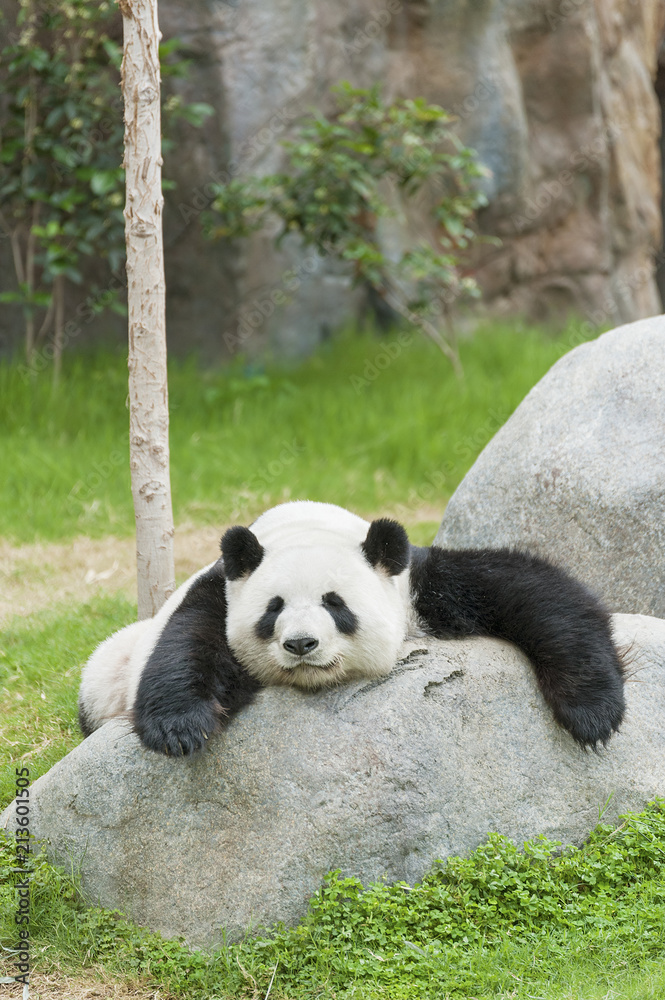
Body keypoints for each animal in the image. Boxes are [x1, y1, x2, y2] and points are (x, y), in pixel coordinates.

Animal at [78, 500, 626, 756]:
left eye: (335, 603)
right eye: (273, 609)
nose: (301, 644)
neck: (302, 525)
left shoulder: (418, 585)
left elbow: (534, 592)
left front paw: (592, 713)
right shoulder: (221, 590)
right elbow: (188, 640)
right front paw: (181, 728)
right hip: (105, 675)